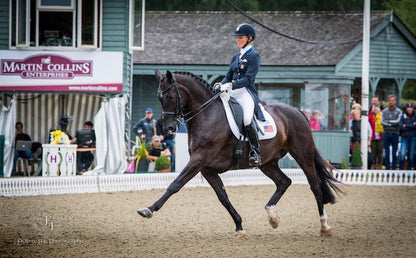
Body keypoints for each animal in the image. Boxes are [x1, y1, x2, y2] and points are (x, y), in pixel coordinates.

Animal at [138, 70, 342, 238]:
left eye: (170, 96)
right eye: (159, 97)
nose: (170, 128)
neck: (207, 115)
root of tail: (298, 112)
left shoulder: (199, 160)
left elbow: (175, 185)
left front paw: (148, 209)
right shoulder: (207, 168)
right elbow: (223, 197)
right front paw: (239, 227)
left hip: (303, 154)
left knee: (315, 186)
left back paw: (324, 226)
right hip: (267, 162)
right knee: (284, 182)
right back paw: (272, 216)